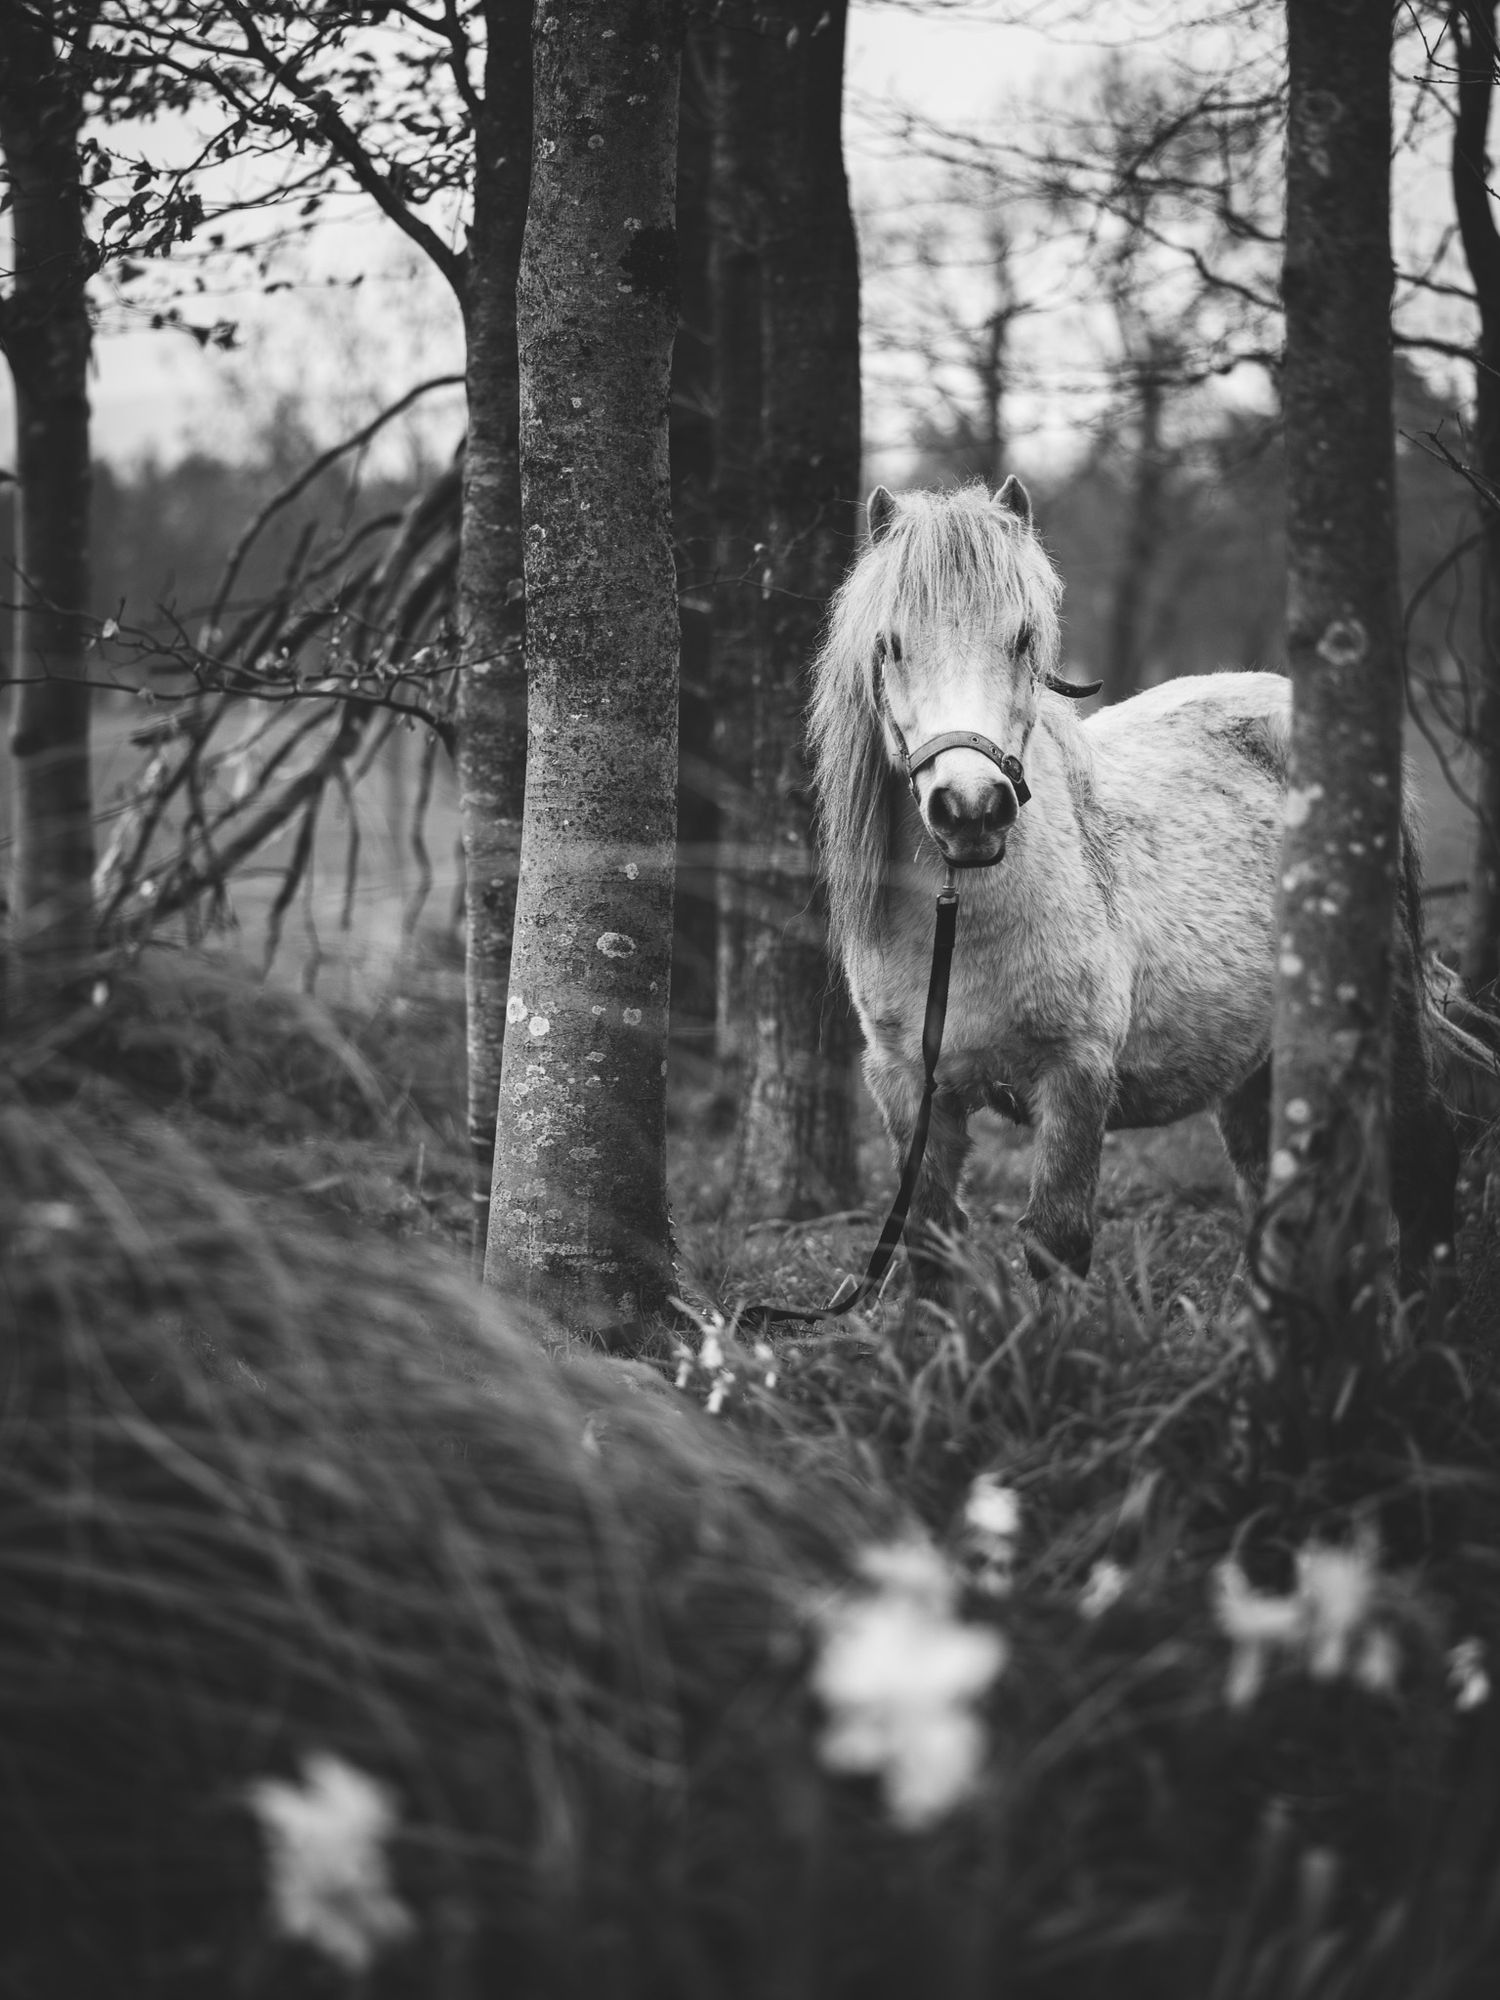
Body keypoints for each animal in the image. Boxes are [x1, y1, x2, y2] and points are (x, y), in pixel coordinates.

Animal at [808, 477, 1471, 1302]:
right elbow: (930, 1244)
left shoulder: (1076, 1074)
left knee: (1424, 1148)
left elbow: (1056, 1240)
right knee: (1267, 1174)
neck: (960, 928)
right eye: (891, 645)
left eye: (1022, 639)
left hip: (1387, 1012)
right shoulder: (907, 1087)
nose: (971, 809)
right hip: (1259, 1056)